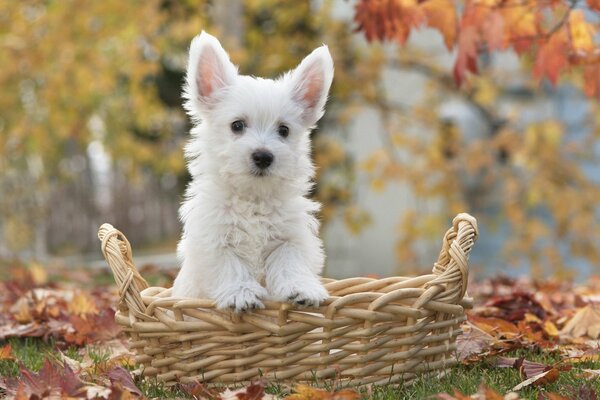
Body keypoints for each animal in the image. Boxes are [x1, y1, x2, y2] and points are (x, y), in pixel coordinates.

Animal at [172, 32, 332, 312]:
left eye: (284, 130)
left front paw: (302, 289)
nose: (263, 156)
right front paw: (241, 293)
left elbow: (289, 262)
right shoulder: (214, 239)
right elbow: (230, 265)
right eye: (237, 125)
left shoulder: (290, 237)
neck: (253, 198)